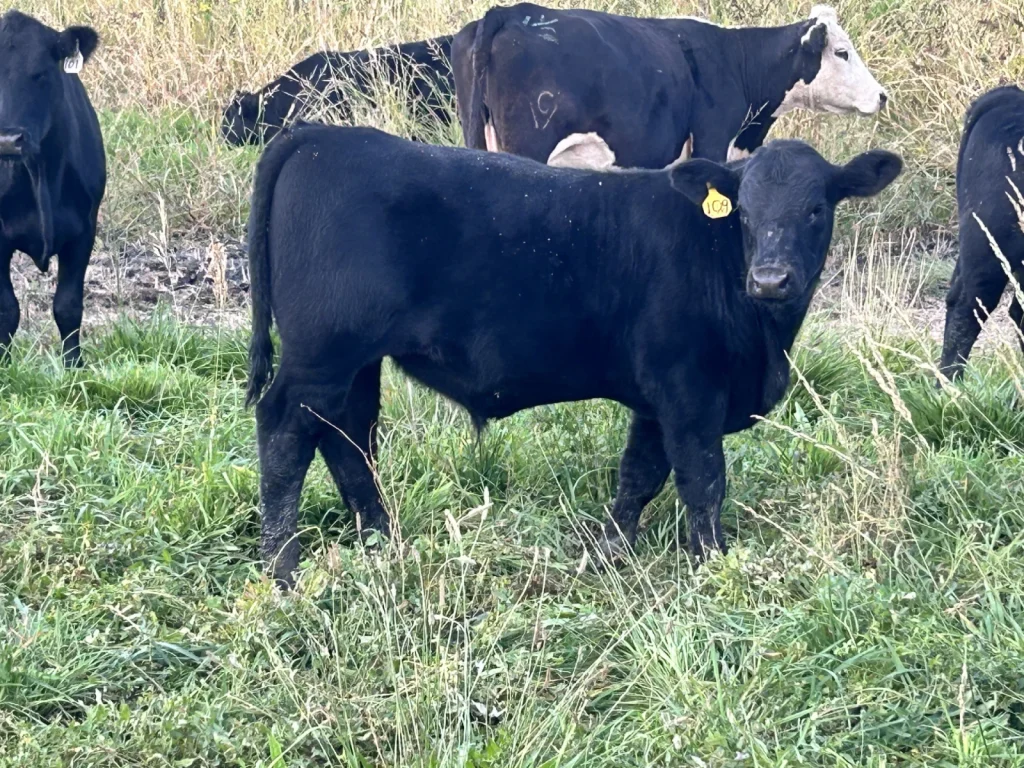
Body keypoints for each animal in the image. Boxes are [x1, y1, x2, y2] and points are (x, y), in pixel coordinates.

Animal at [0, 11, 106, 368]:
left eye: (41, 74)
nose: (8, 140)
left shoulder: (84, 230)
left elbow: (68, 305)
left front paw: (74, 366)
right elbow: (7, 309)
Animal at [243, 125, 901, 586]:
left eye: (816, 209)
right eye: (744, 212)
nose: (770, 279)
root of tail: (321, 136)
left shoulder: (656, 398)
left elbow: (640, 474)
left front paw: (608, 549)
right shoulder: (688, 389)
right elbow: (702, 479)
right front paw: (713, 564)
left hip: (355, 362)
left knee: (346, 437)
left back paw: (382, 541)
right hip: (322, 355)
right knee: (286, 436)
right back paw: (282, 568)